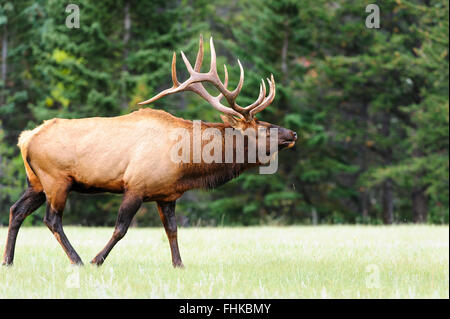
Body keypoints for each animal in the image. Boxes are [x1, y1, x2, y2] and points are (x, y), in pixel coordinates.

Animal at [4, 36, 298, 268]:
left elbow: (172, 230)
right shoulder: (136, 185)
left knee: (16, 210)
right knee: (51, 219)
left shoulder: (166, 194)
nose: (293, 134)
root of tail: (25, 138)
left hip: (36, 182)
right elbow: (121, 229)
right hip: (56, 179)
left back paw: (8, 261)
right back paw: (77, 260)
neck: (187, 166)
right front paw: (97, 260)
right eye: (264, 128)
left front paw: (179, 264)